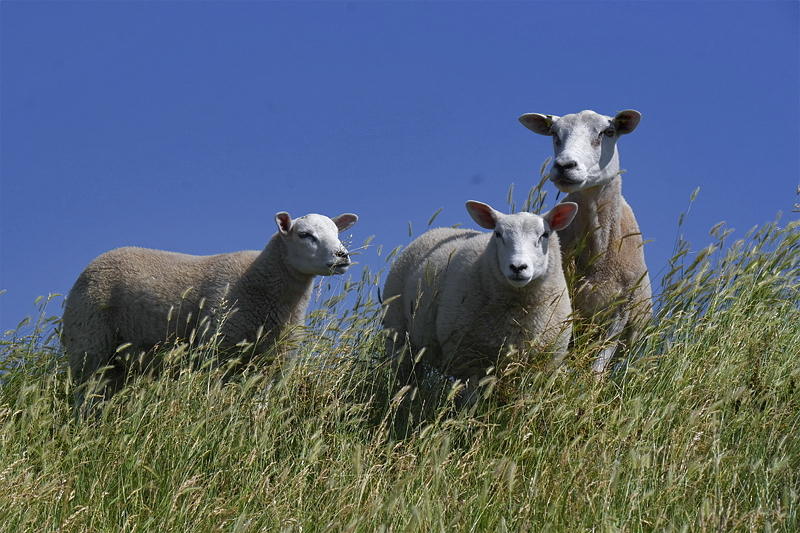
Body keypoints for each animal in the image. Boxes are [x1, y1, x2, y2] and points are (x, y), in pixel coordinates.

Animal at [64, 208, 358, 404]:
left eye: (336, 232)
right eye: (304, 235)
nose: (342, 256)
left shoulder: (274, 364)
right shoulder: (217, 353)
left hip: (122, 362)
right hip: (89, 345)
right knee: (84, 397)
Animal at [384, 201, 580, 400]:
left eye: (545, 234)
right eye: (498, 234)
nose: (518, 267)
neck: (519, 312)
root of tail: (436, 230)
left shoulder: (541, 362)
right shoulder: (468, 360)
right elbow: (472, 400)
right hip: (398, 335)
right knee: (407, 376)